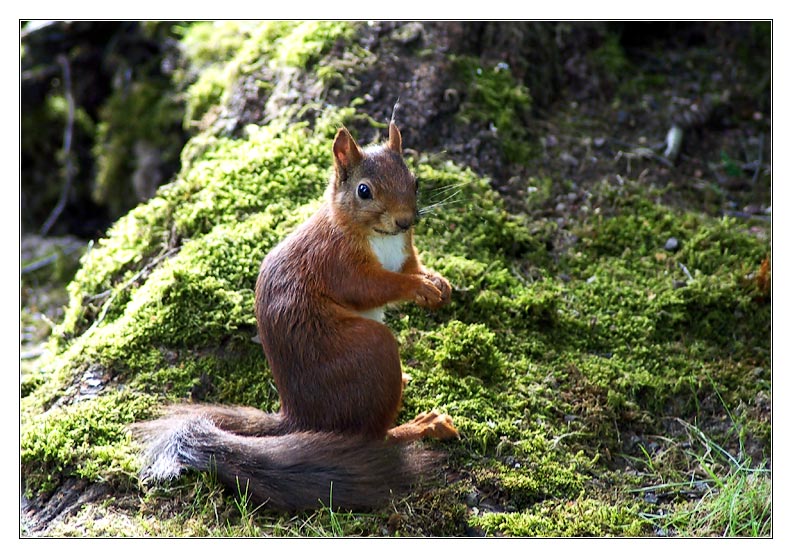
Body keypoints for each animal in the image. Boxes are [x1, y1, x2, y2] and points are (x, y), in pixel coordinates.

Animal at [134, 122, 460, 512]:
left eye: (416, 181)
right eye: (364, 191)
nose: (405, 220)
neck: (379, 237)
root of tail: (297, 418)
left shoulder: (405, 253)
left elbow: (413, 267)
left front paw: (438, 282)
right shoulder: (337, 263)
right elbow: (374, 287)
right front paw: (418, 287)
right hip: (371, 349)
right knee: (375, 435)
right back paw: (419, 426)